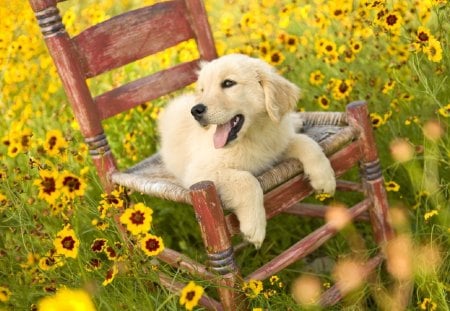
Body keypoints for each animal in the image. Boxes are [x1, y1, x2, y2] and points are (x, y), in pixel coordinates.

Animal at [160, 53, 336, 249]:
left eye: (228, 83)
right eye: (203, 90)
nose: (196, 110)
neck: (252, 136)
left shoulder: (276, 146)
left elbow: (308, 143)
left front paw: (325, 179)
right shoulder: (200, 172)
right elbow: (247, 180)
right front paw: (254, 226)